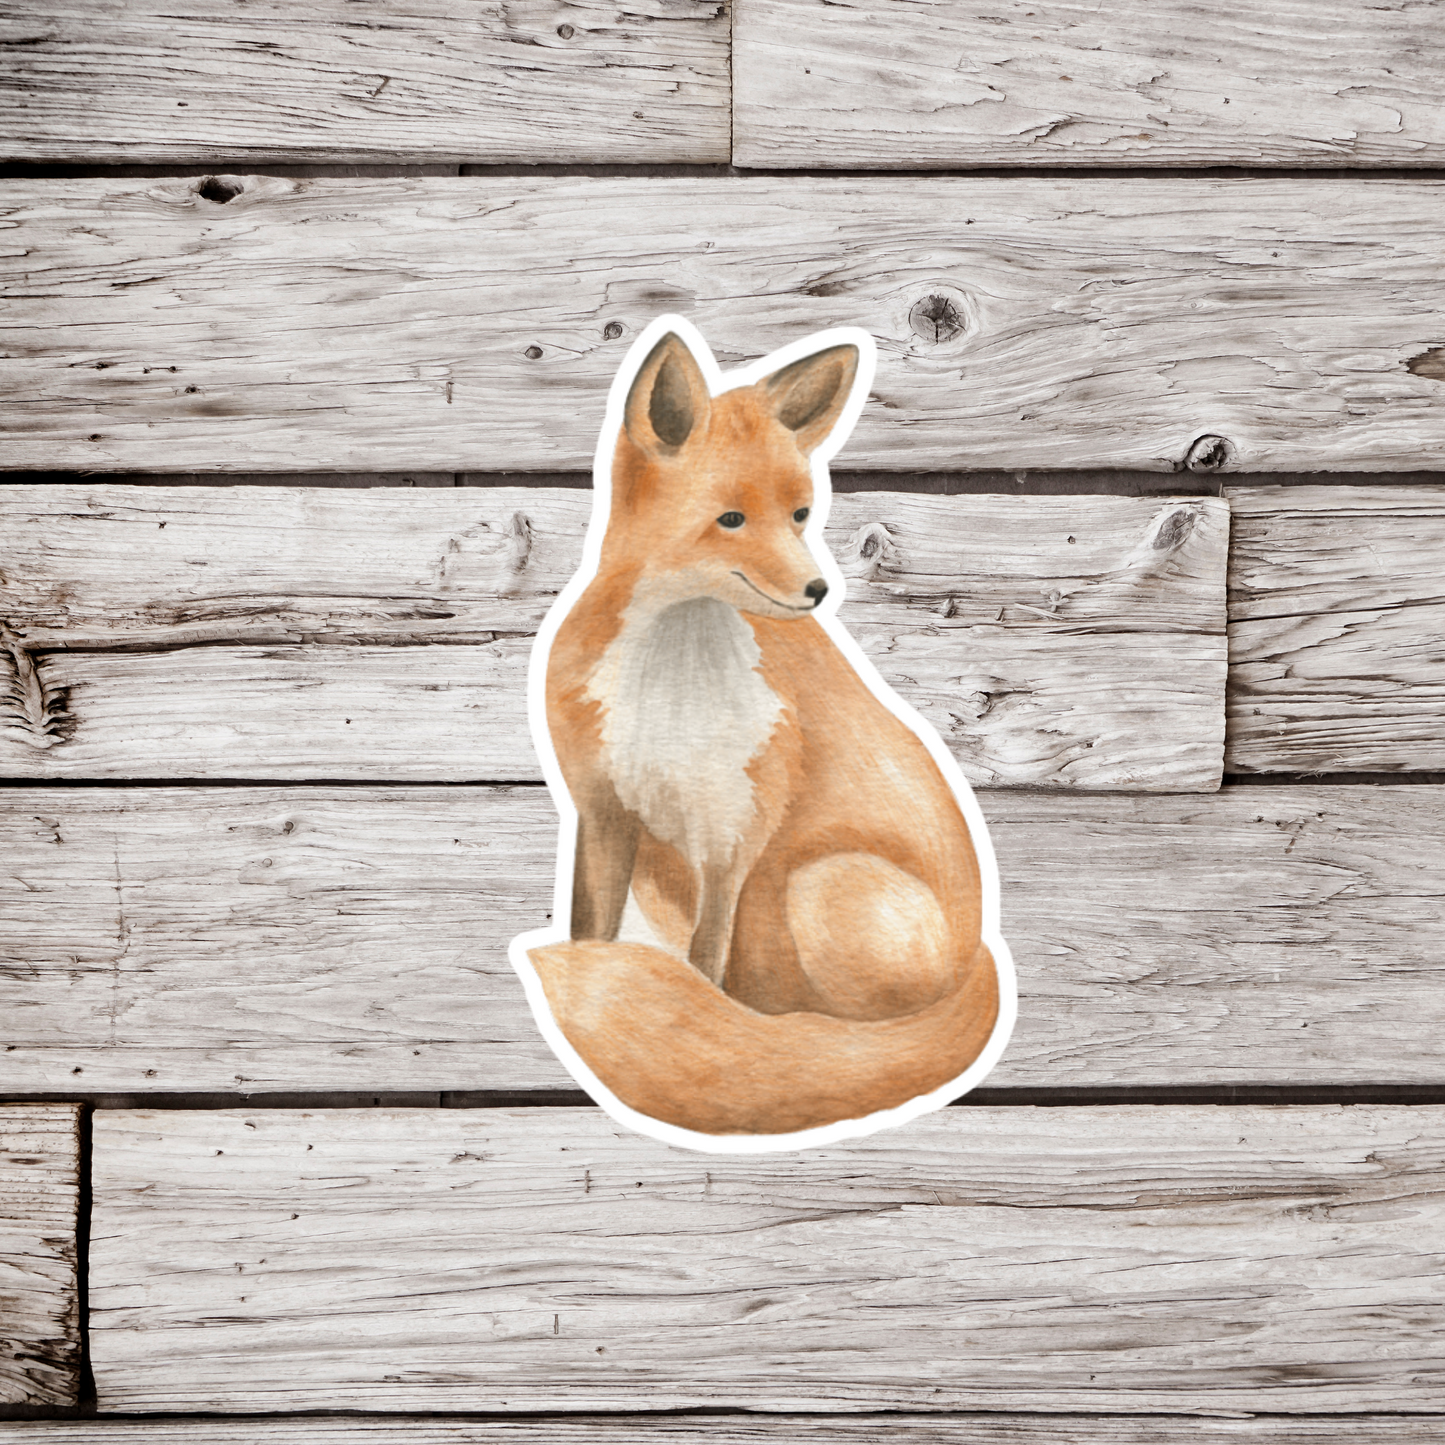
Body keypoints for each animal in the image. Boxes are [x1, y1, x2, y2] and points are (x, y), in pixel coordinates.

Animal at [510, 318, 1014, 1152]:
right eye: (731, 519)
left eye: (801, 514)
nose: (818, 591)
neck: (670, 686)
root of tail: (981, 957)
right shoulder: (604, 811)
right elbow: (592, 931)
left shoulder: (731, 833)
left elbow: (703, 968)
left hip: (823, 884)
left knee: (842, 1039)